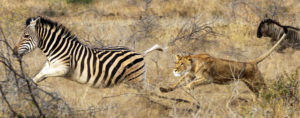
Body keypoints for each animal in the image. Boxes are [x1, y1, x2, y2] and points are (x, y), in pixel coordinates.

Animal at [13, 16, 164, 87]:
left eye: (26, 36)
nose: (14, 53)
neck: (56, 50)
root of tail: (141, 53)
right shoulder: (49, 67)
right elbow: (37, 76)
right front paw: (26, 88)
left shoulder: (63, 69)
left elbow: (43, 74)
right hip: (138, 79)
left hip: (136, 80)